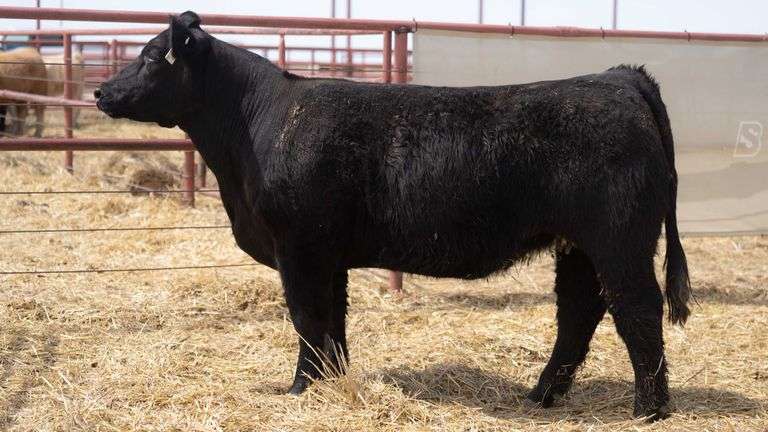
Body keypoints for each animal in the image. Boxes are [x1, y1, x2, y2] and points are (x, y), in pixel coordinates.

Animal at [95, 12, 692, 421]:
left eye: (152, 56)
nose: (100, 90)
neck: (255, 127)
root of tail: (618, 78)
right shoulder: (327, 254)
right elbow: (333, 322)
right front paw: (332, 383)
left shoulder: (300, 247)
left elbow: (307, 318)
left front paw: (301, 390)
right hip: (577, 244)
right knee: (579, 314)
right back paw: (541, 394)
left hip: (619, 239)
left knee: (637, 309)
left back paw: (649, 409)